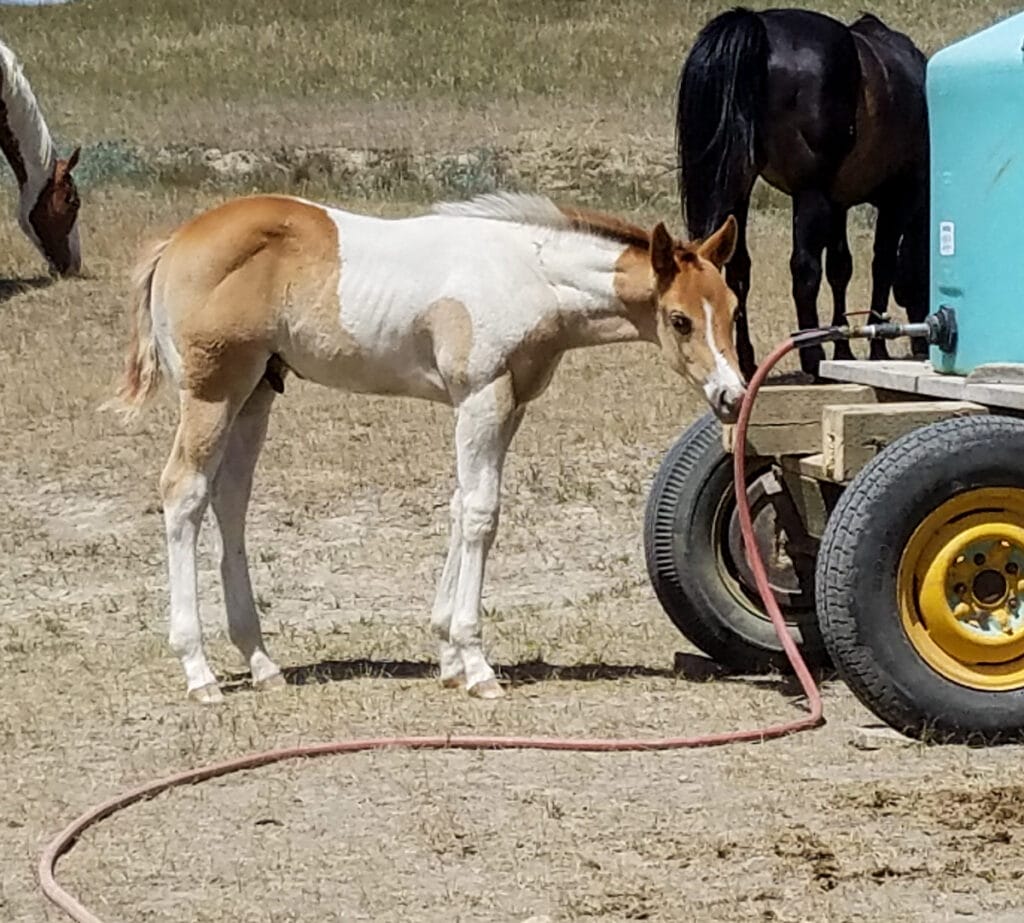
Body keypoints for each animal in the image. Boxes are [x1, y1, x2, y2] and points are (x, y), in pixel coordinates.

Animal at [108, 191, 744, 703]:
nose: (732, 396)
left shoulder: (506, 405)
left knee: (230, 500)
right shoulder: (481, 397)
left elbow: (463, 506)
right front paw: (476, 664)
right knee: (184, 493)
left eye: (733, 308)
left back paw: (262, 663)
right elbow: (482, 514)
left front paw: (448, 657)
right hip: (212, 393)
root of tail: (177, 241)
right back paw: (199, 671)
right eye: (680, 319)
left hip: (256, 394)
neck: (529, 273)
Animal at [676, 7, 929, 379]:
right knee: (804, 269)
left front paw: (844, 348)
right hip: (807, 193)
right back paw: (811, 355)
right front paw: (875, 347)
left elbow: (841, 268)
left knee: (738, 270)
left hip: (740, 187)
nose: (922, 344)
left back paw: (748, 360)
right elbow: (880, 264)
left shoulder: (838, 201)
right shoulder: (900, 198)